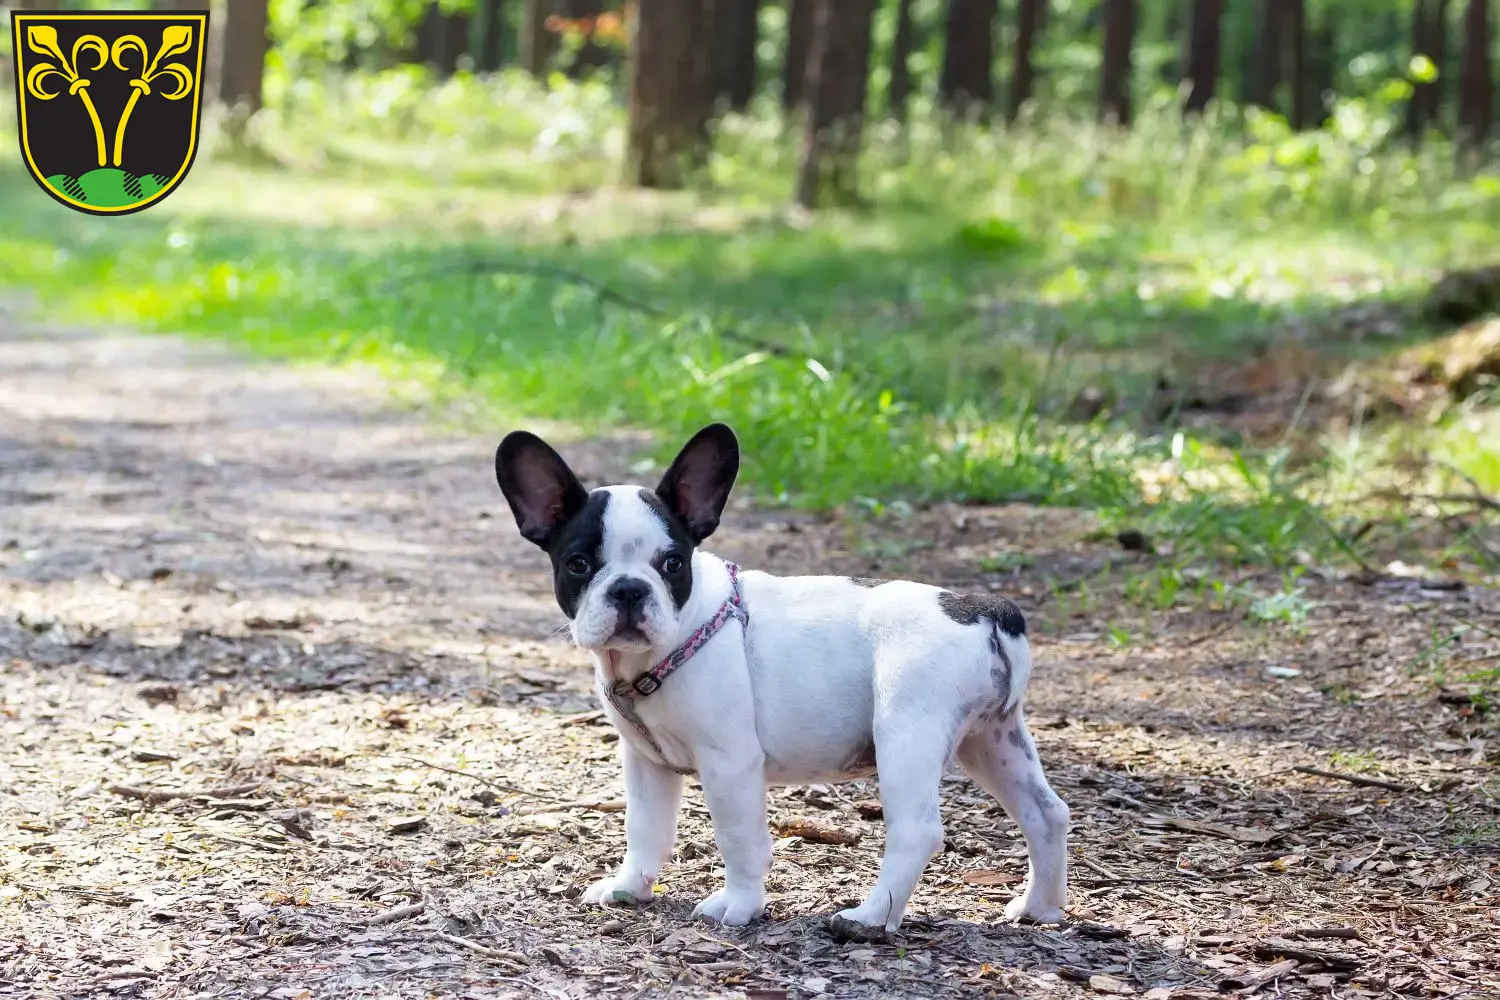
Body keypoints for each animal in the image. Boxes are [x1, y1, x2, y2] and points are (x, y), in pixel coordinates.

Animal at [492, 422, 1068, 929]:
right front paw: (628, 888)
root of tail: (986, 609)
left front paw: (738, 905)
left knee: (917, 830)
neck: (668, 644)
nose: (630, 589)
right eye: (579, 564)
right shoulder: (646, 763)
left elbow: (740, 839)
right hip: (991, 739)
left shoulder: (730, 762)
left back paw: (869, 918)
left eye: (673, 564)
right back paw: (1039, 908)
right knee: (1047, 813)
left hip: (908, 730)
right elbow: (644, 828)